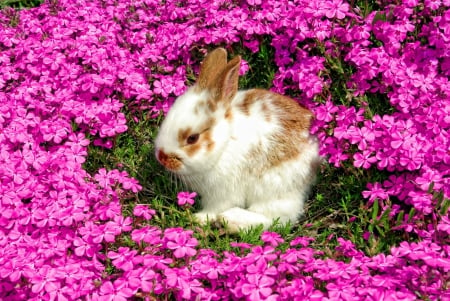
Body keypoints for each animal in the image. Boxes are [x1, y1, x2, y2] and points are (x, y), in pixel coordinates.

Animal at [155, 47, 320, 232]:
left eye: (192, 138)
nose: (161, 158)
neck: (225, 142)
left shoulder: (222, 194)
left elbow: (214, 208)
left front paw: (199, 218)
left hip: (274, 190)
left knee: (277, 219)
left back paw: (231, 220)